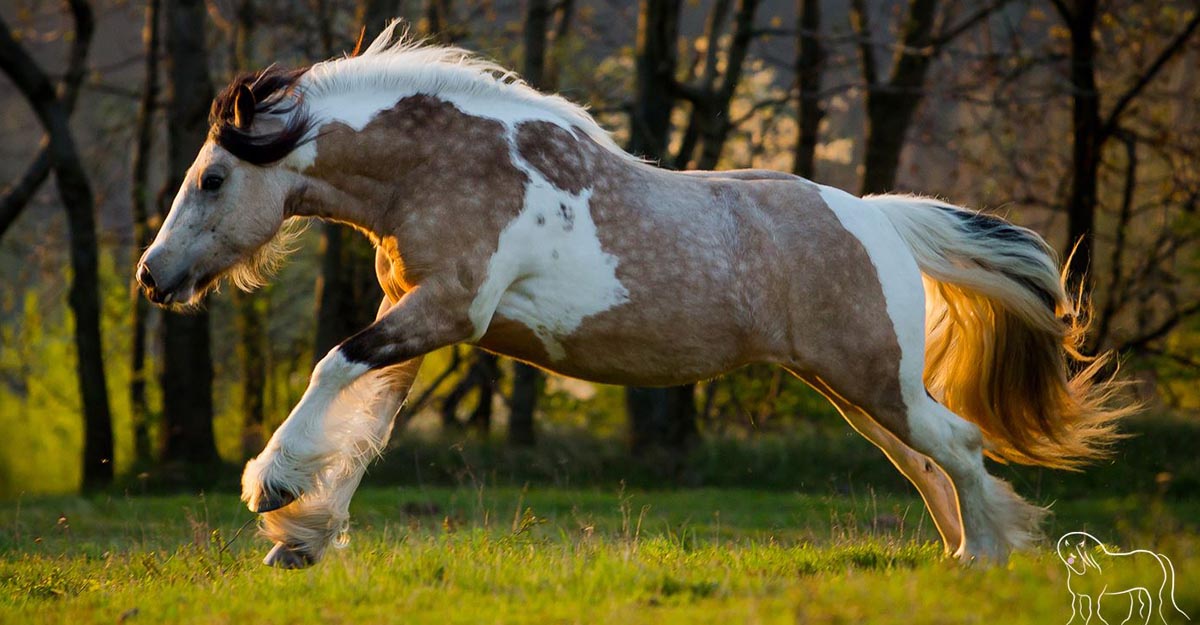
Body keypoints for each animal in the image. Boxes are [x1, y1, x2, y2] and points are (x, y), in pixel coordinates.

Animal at [138, 21, 1132, 568]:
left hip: (876, 380)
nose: (154, 277)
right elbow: (364, 430)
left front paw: (270, 488)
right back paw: (962, 554)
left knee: (958, 447)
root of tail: (879, 217)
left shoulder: (445, 311)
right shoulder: (420, 321)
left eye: (214, 179)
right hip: (857, 390)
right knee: (930, 464)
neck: (445, 165)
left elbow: (332, 370)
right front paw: (302, 538)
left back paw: (985, 559)